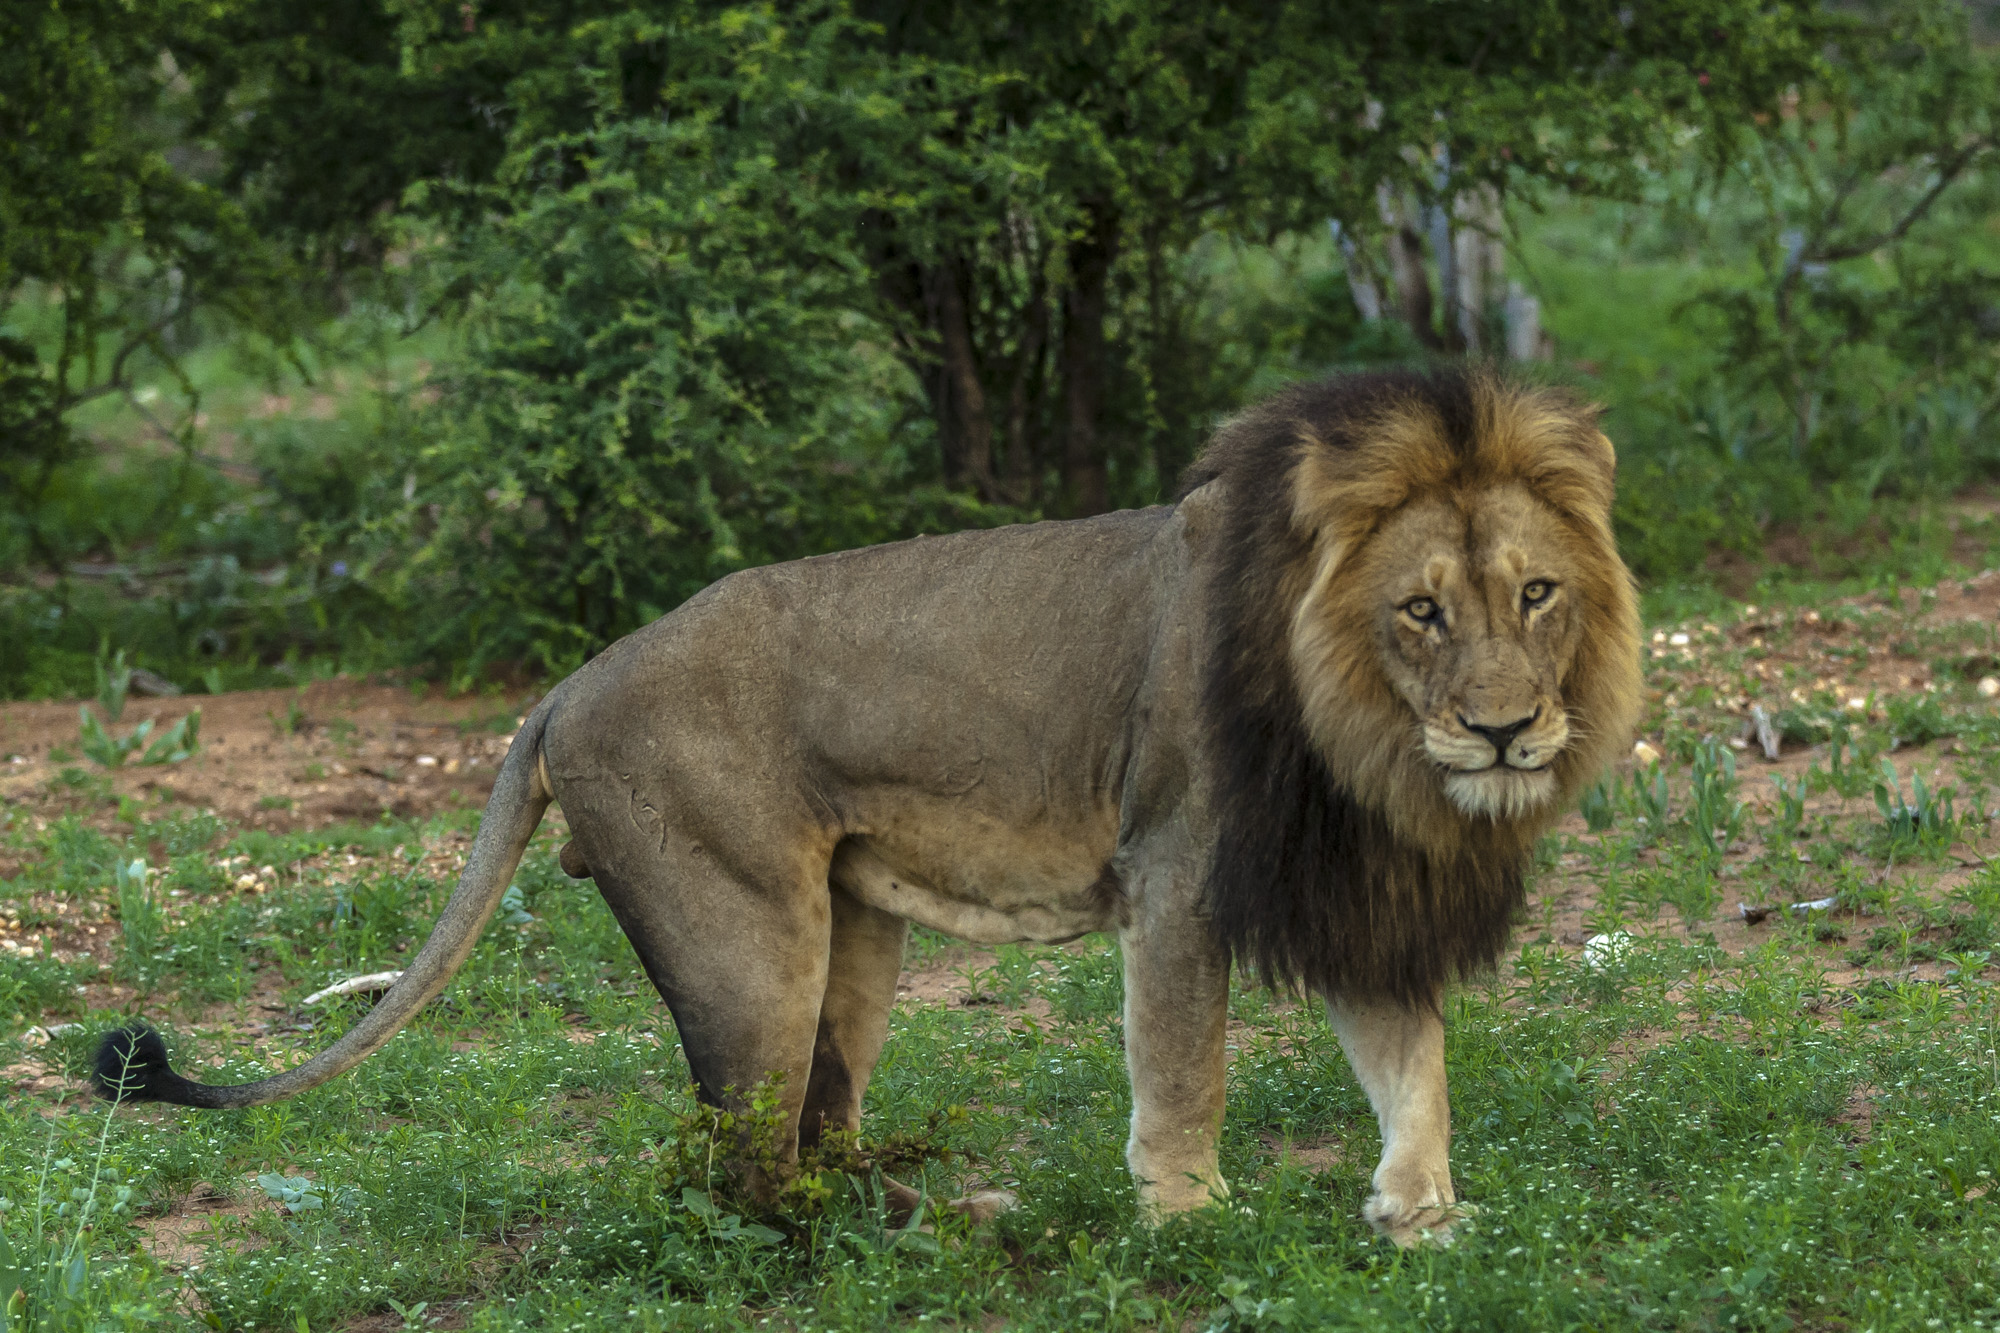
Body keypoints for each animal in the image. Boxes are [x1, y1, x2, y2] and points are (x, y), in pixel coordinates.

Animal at [97, 366, 1640, 1248]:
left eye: (1536, 594)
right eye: (1420, 610)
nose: (1504, 729)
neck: (1370, 745)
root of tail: (570, 681)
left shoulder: (1357, 883)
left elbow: (1412, 1060)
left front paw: (1425, 1216)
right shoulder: (1178, 872)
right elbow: (1184, 1067)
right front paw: (1188, 1220)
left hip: (853, 934)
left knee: (815, 1138)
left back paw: (943, 1206)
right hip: (748, 940)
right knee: (743, 1178)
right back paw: (939, 1237)